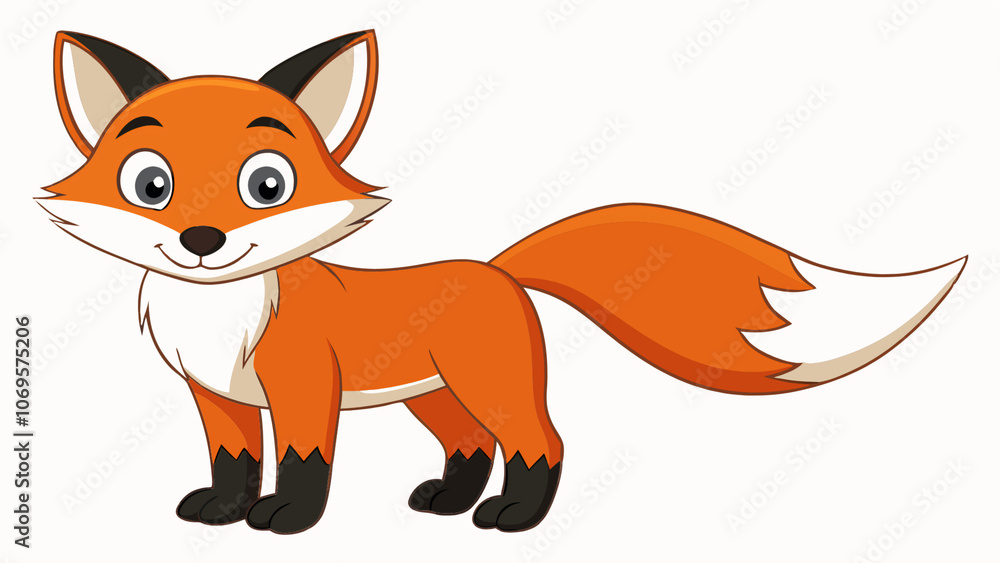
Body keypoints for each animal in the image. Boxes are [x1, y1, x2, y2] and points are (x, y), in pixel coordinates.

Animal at [39, 30, 966, 535]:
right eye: (150, 183)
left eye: (267, 182)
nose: (202, 241)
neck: (218, 313)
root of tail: (497, 268)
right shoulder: (217, 397)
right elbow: (233, 462)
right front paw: (224, 511)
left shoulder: (302, 388)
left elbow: (302, 464)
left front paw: (290, 521)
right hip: (435, 395)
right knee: (470, 446)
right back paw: (448, 501)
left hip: (491, 383)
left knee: (539, 442)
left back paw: (514, 518)